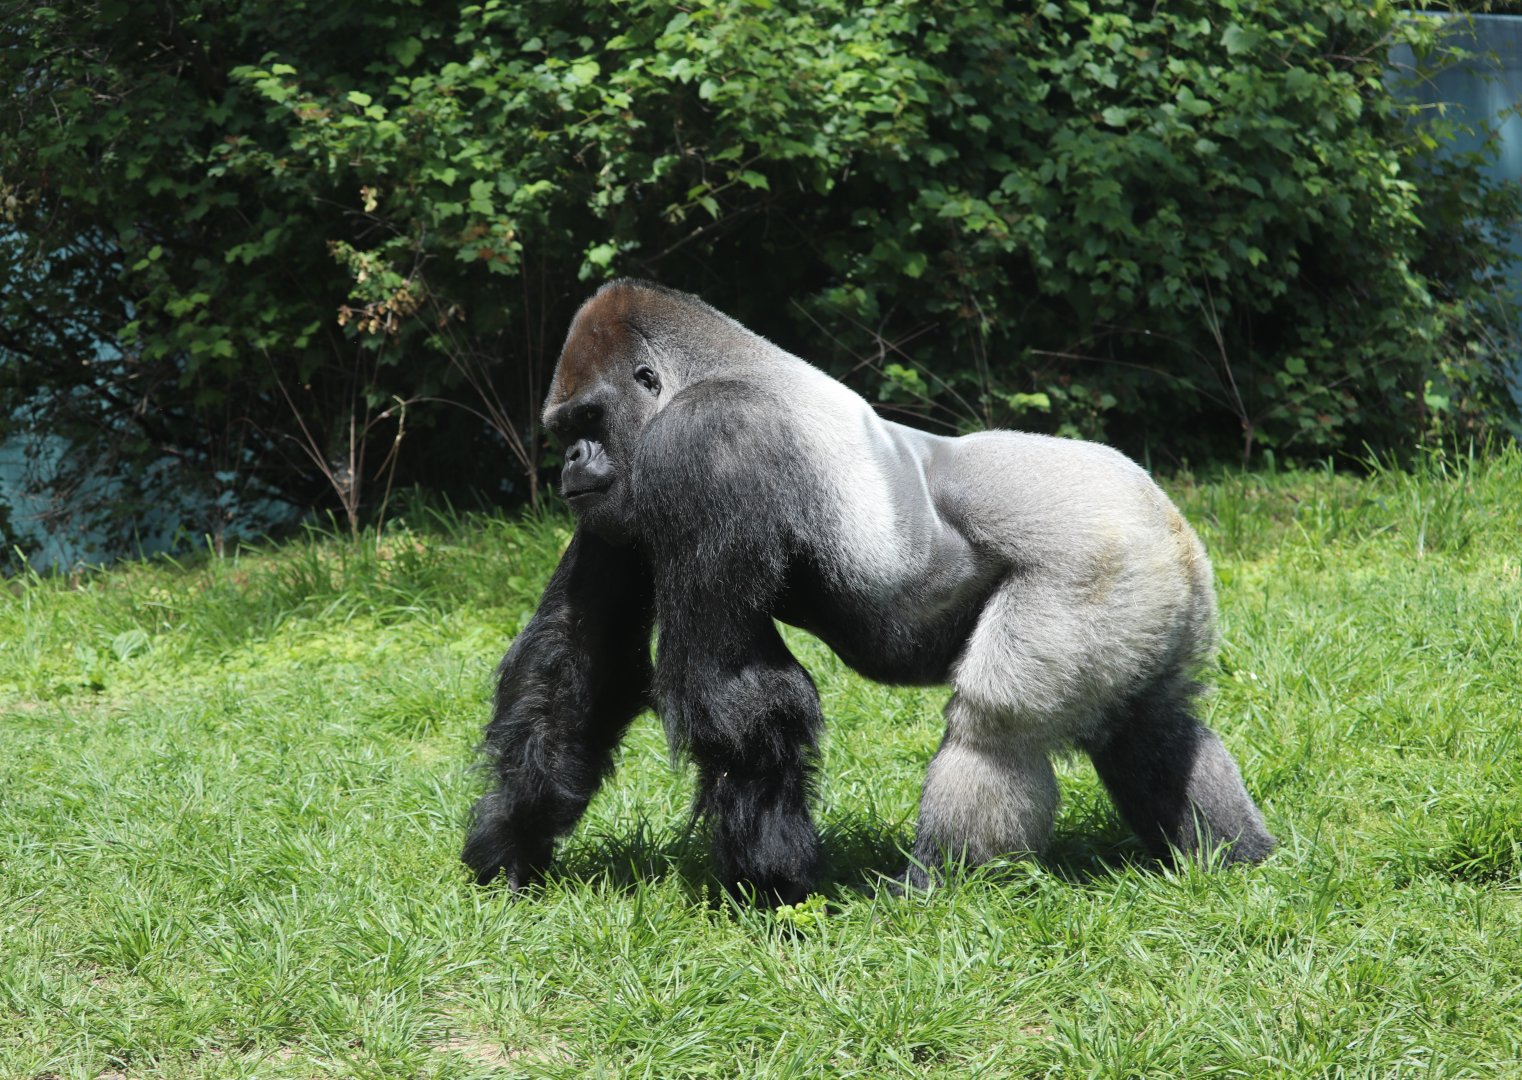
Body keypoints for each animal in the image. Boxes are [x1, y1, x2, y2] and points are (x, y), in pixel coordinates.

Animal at [462, 278, 1274, 903]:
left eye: (590, 419)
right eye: (565, 427)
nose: (571, 459)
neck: (699, 374)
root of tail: (1169, 518)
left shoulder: (708, 441)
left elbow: (731, 691)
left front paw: (773, 884)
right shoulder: (616, 505)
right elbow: (580, 664)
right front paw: (512, 846)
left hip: (1098, 561)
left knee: (994, 732)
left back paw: (939, 886)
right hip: (1156, 587)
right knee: (1151, 722)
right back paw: (1233, 857)